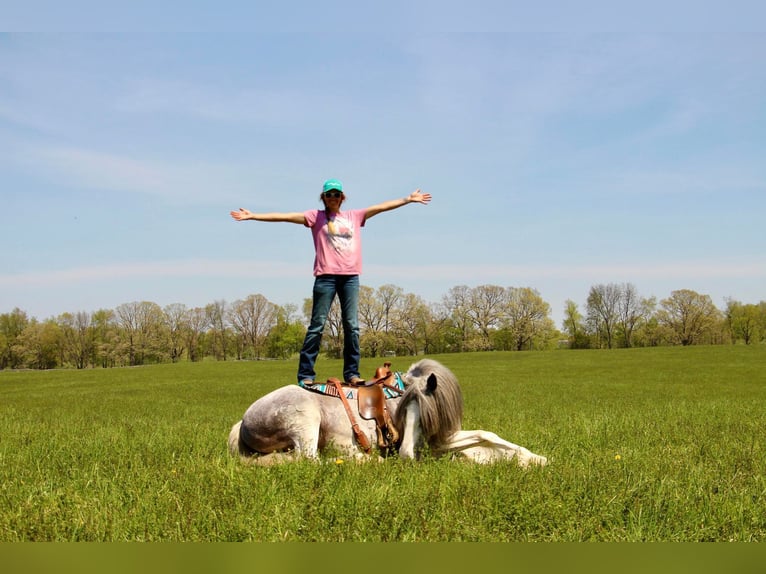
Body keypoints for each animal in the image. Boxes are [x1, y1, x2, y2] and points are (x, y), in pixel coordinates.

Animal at [226, 358, 544, 470]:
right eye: (405, 412)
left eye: (422, 413)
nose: (404, 455)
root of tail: (242, 422)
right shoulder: (432, 444)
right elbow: (483, 436)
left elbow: (484, 438)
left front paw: (534, 459)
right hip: (305, 420)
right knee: (309, 459)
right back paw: (365, 460)